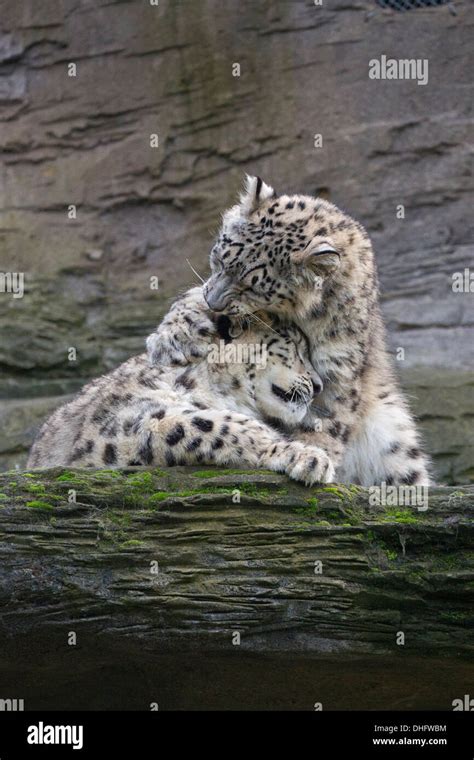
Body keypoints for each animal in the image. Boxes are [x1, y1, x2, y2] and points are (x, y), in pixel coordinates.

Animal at [149, 177, 434, 486]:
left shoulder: (337, 366)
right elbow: (189, 298)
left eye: (252, 286)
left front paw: (312, 457)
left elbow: (326, 417)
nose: (214, 302)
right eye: (220, 259)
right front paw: (172, 338)